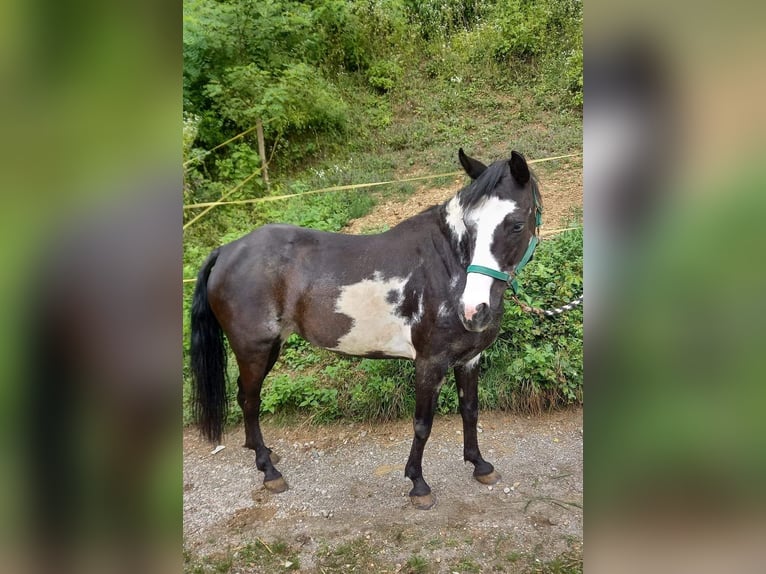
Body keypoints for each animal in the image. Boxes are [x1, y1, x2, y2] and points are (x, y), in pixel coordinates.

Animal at [189, 147, 544, 508]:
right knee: (250, 400)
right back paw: (268, 471)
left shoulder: (470, 359)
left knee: (246, 397)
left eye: (516, 225)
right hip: (254, 348)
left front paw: (480, 465)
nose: (473, 311)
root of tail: (226, 251)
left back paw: (264, 454)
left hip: (271, 346)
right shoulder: (429, 363)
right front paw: (418, 484)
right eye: (470, 228)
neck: (445, 267)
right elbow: (422, 424)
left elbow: (470, 411)